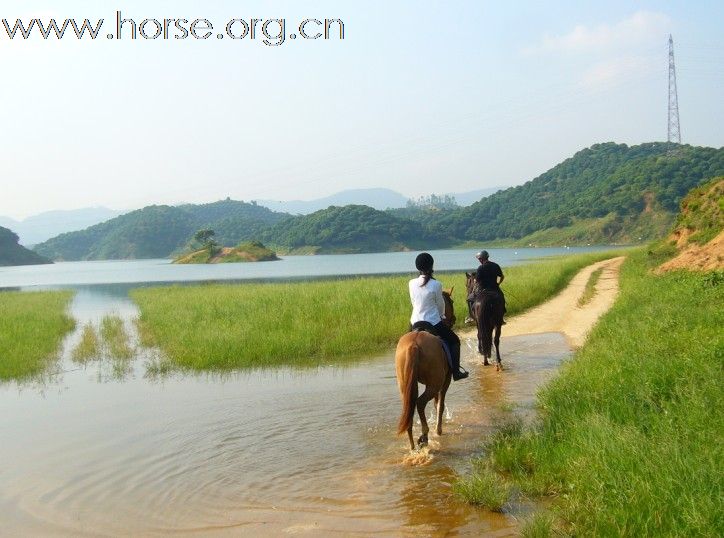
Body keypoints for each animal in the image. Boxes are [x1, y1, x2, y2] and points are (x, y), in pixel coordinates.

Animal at [398, 288, 456, 448]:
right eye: (451, 301)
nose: (454, 319)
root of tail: (414, 344)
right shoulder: (445, 381)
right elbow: (440, 404)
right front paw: (439, 429)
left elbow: (437, 404)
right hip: (434, 384)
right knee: (420, 403)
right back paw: (424, 434)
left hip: (406, 384)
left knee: (409, 407)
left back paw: (412, 444)